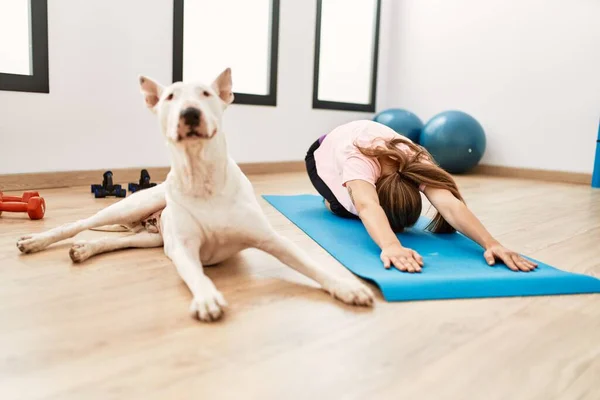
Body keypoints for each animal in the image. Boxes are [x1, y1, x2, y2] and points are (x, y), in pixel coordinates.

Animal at [16, 69, 372, 322]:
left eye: (206, 93)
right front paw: (207, 297)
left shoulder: (272, 240)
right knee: (77, 224)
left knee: (113, 241)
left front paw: (346, 287)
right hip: (134, 207)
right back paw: (37, 241)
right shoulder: (184, 249)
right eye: (170, 97)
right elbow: (194, 273)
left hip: (152, 239)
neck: (203, 177)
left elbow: (311, 264)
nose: (189, 112)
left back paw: (85, 249)